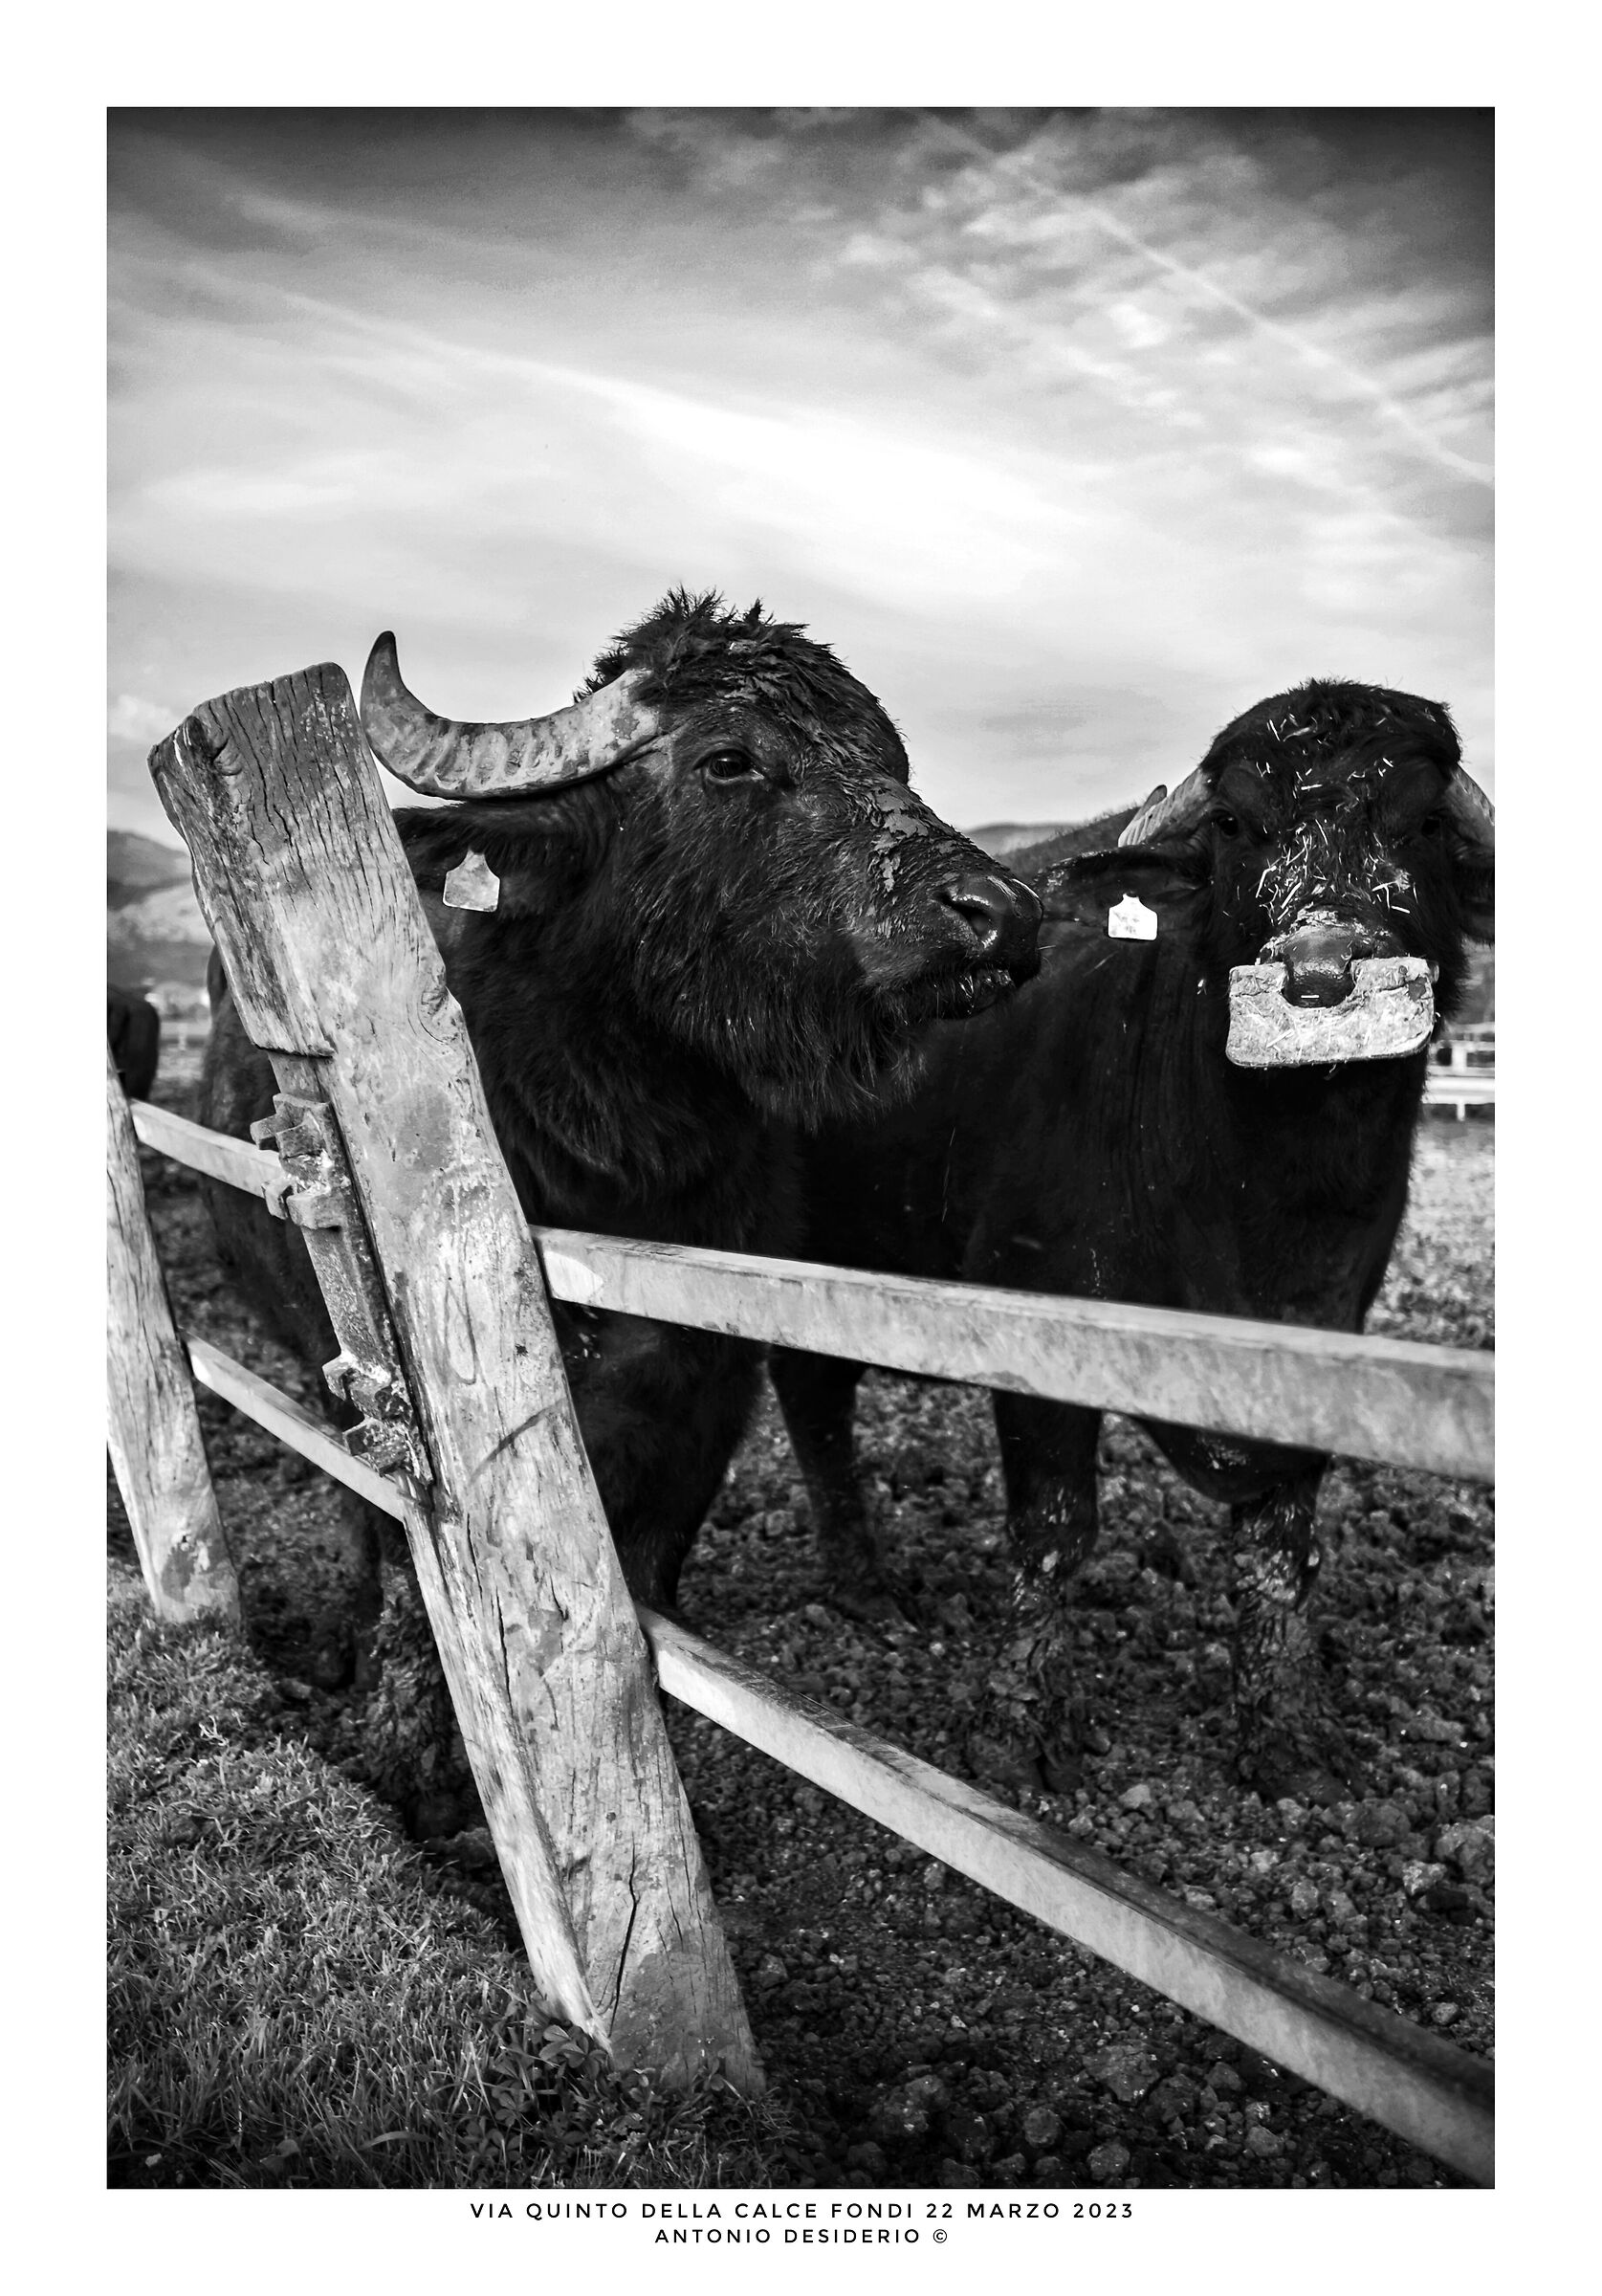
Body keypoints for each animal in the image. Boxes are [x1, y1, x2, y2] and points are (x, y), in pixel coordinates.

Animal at [200, 590, 1040, 1786]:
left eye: (893, 760)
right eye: (728, 761)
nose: (1002, 912)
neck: (625, 1154)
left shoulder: (709, 1394)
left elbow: (651, 1574)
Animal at [769, 680, 1494, 1805]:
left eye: (1421, 822)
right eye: (1235, 823)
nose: (1321, 974)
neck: (1260, 1198)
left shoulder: (1326, 1337)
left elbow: (1281, 1552)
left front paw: (1285, 1732)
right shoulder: (1035, 1328)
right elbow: (1054, 1535)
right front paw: (1021, 1725)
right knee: (812, 1399)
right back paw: (866, 1584)